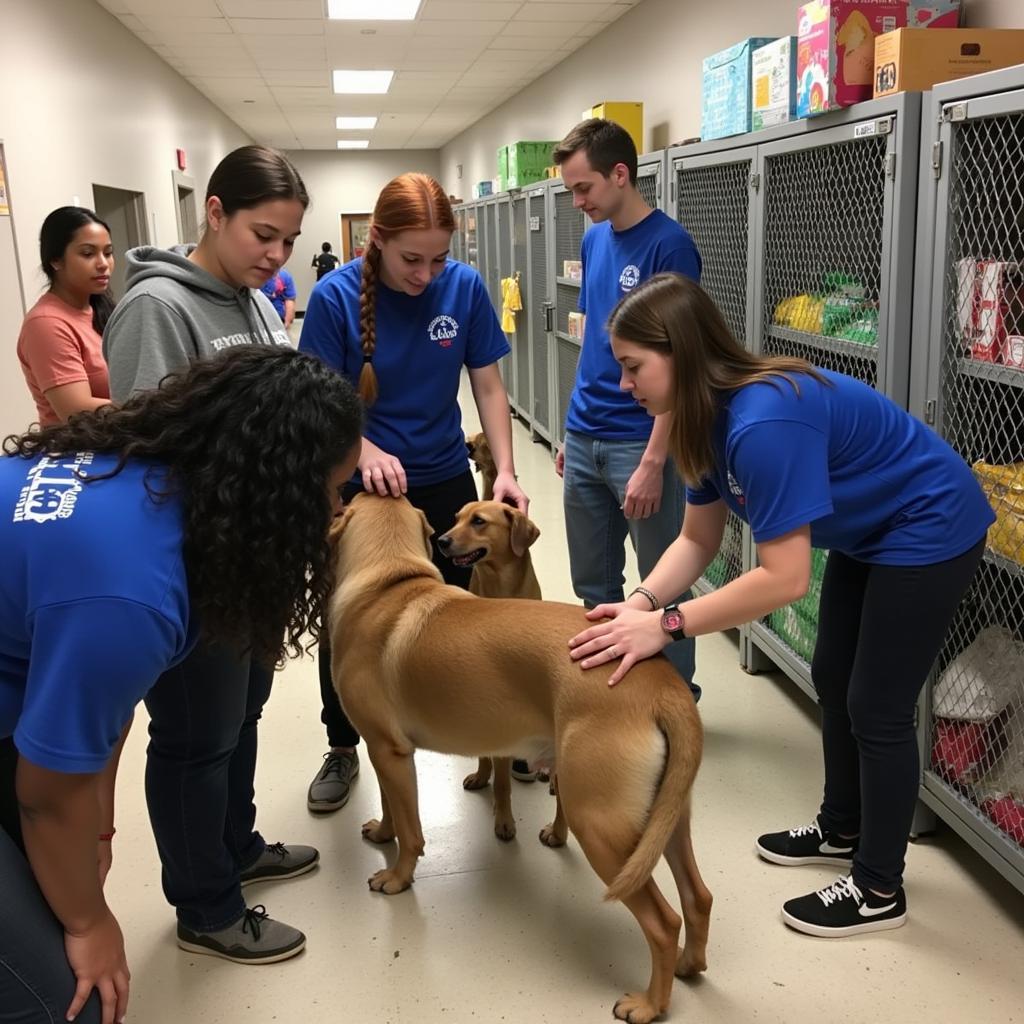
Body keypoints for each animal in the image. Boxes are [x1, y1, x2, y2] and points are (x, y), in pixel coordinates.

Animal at [327, 491, 712, 1019]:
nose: (444, 541)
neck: (388, 583)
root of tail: (662, 683)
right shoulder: (385, 750)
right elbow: (389, 807)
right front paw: (381, 832)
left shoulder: (390, 751)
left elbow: (411, 832)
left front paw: (398, 876)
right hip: (661, 820)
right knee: (698, 898)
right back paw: (689, 966)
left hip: (603, 826)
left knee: (663, 921)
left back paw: (650, 1004)